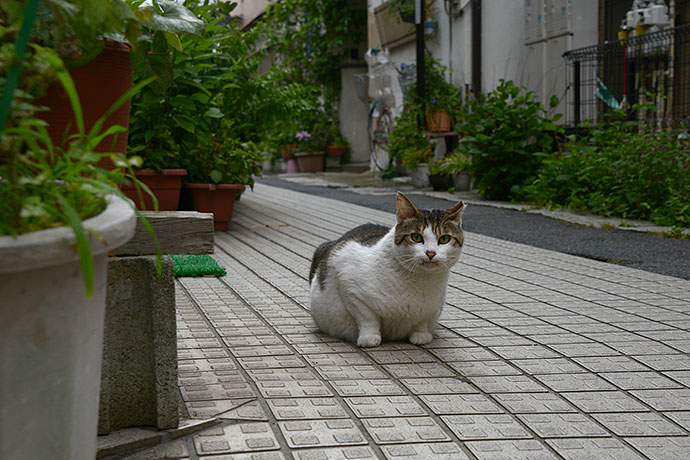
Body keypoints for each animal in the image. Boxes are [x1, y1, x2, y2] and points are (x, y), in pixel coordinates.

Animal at [310, 192, 464, 346]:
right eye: (416, 237)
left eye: (444, 239)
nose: (431, 253)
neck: (421, 281)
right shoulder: (349, 284)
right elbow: (367, 318)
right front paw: (369, 337)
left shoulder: (433, 307)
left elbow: (422, 321)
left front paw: (421, 334)